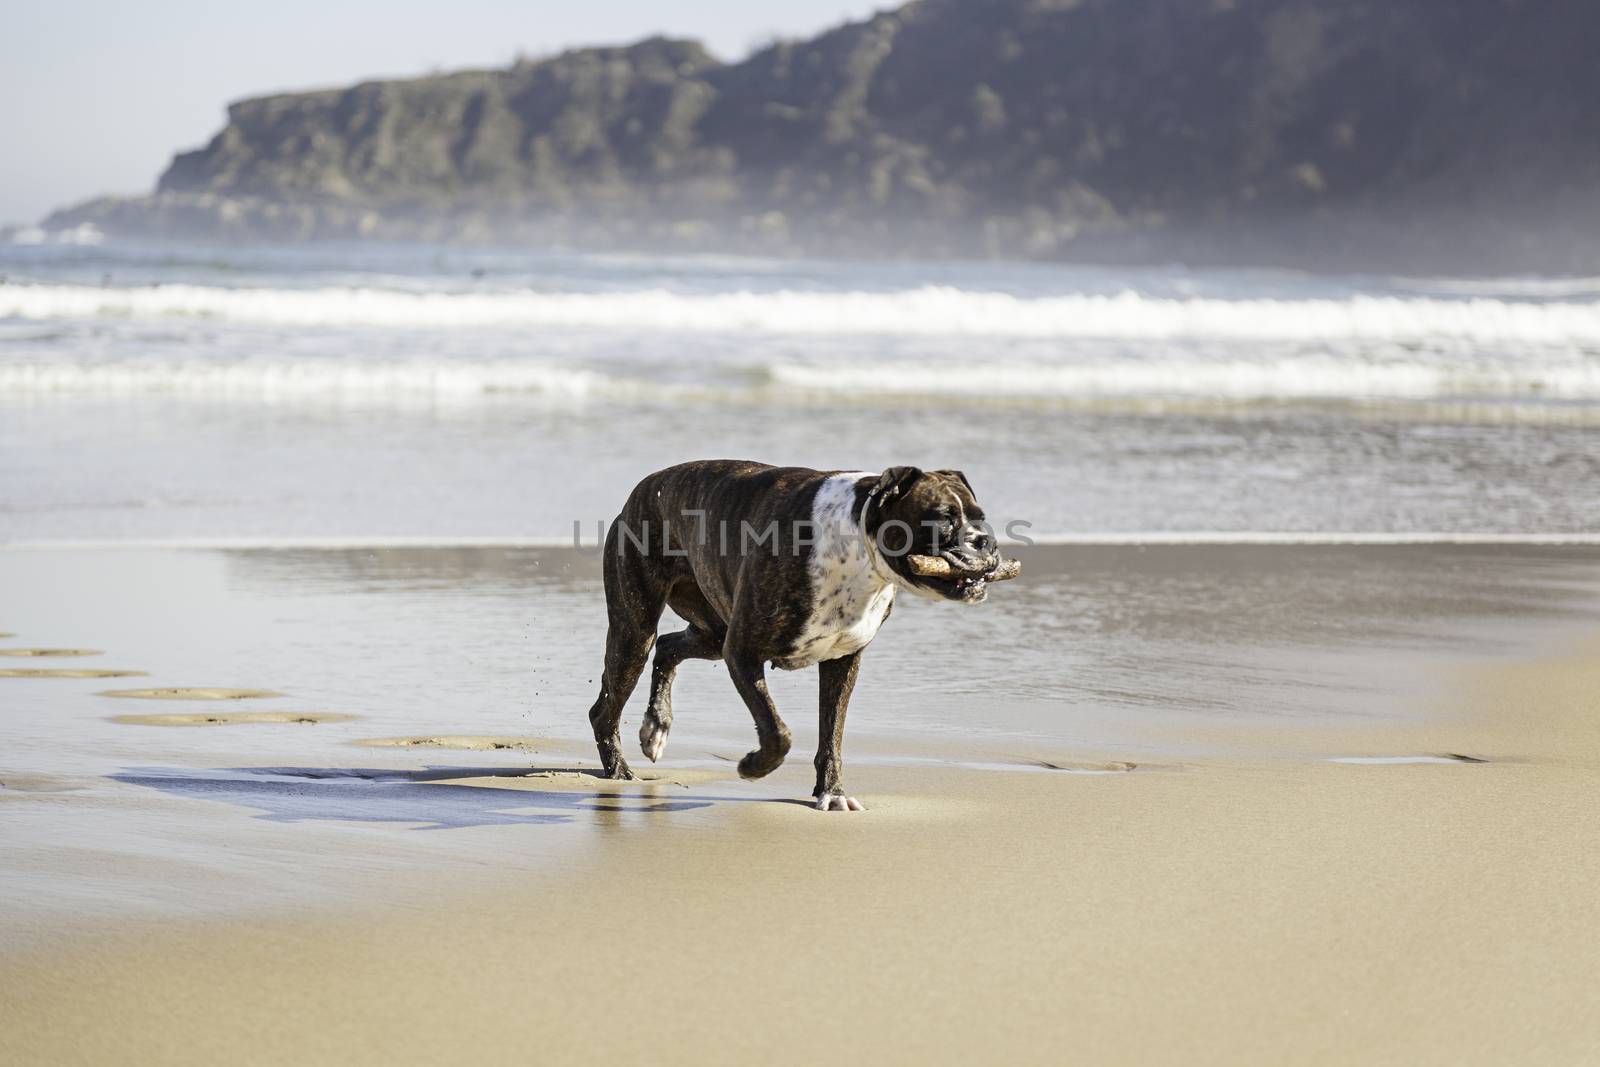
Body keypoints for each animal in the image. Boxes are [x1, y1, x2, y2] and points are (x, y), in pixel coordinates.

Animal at [585, 460, 1011, 809]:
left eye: (980, 517)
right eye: (943, 520)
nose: (985, 540)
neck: (857, 546)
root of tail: (642, 490)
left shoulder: (841, 661)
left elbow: (831, 735)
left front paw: (832, 793)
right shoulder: (743, 652)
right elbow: (778, 732)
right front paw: (753, 767)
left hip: (712, 633)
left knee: (668, 646)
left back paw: (656, 727)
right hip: (635, 631)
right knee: (605, 707)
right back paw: (619, 772)